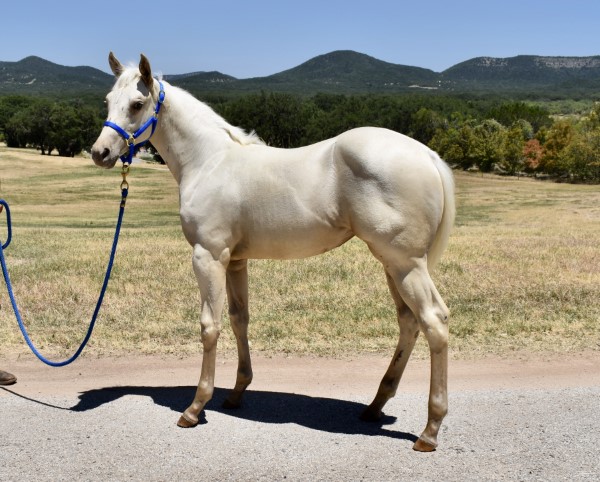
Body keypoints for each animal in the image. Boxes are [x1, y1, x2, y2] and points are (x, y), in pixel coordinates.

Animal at [90, 53, 454, 452]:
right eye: (107, 101)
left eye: (137, 104)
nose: (100, 153)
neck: (210, 162)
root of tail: (428, 155)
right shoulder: (235, 261)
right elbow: (239, 320)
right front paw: (236, 393)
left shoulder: (208, 257)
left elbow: (210, 327)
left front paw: (195, 407)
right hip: (393, 265)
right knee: (409, 322)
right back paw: (375, 406)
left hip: (406, 265)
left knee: (434, 321)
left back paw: (430, 430)